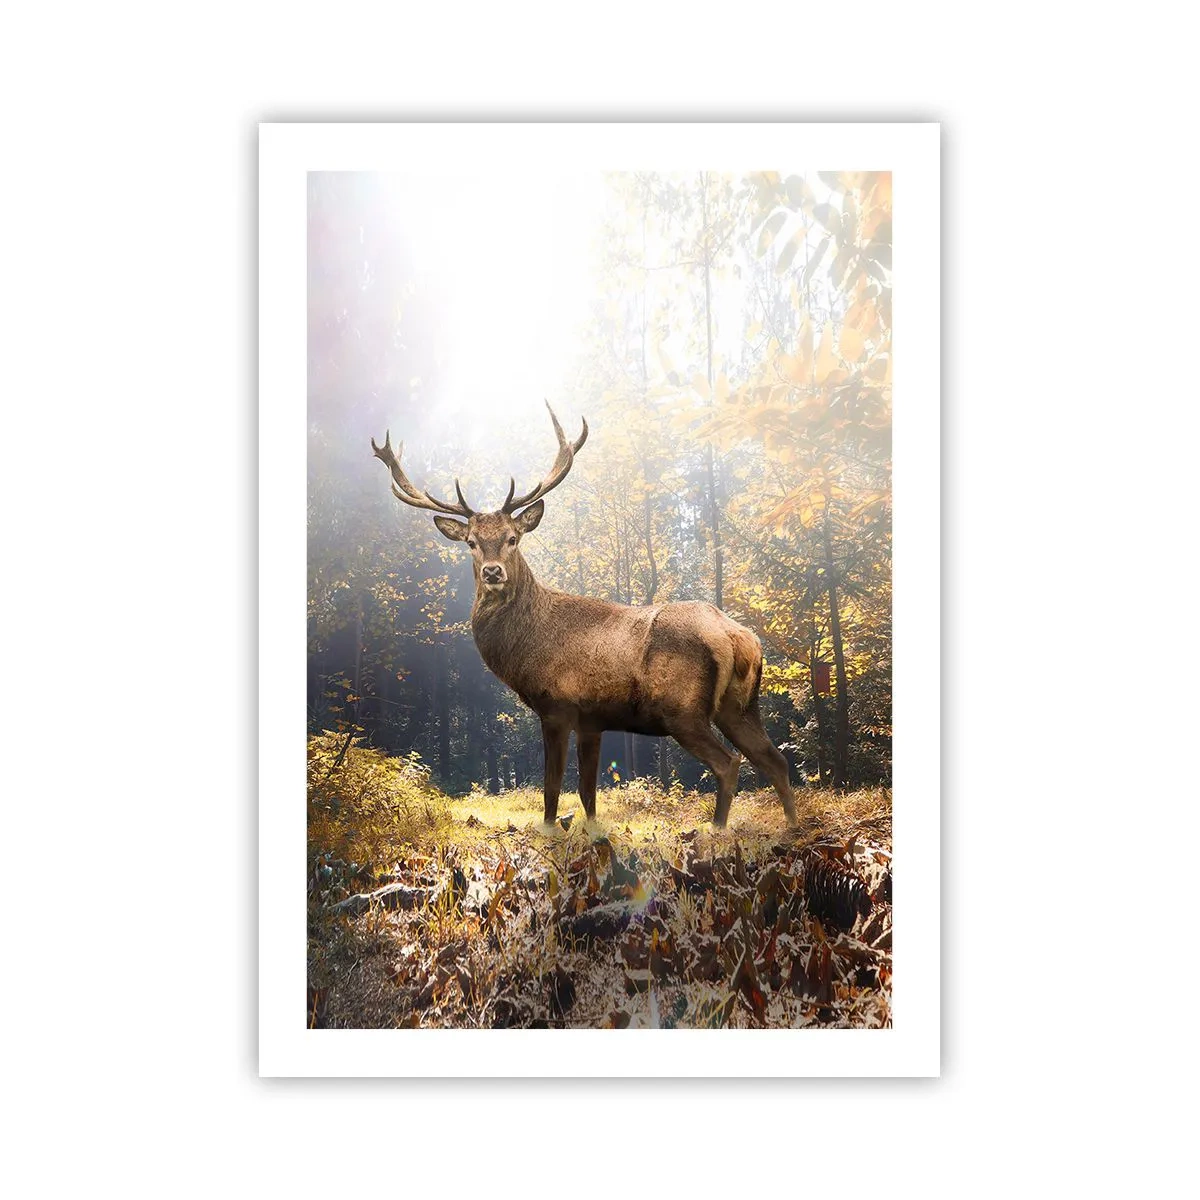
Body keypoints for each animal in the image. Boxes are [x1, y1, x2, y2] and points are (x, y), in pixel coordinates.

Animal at [371, 402, 798, 830]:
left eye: (513, 538)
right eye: (472, 543)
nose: (493, 572)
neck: (526, 647)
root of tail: (738, 637)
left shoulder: (557, 706)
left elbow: (552, 787)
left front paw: (549, 830)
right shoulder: (593, 719)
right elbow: (588, 791)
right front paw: (592, 832)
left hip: (683, 708)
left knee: (729, 763)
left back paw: (717, 830)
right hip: (740, 705)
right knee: (777, 760)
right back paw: (792, 826)